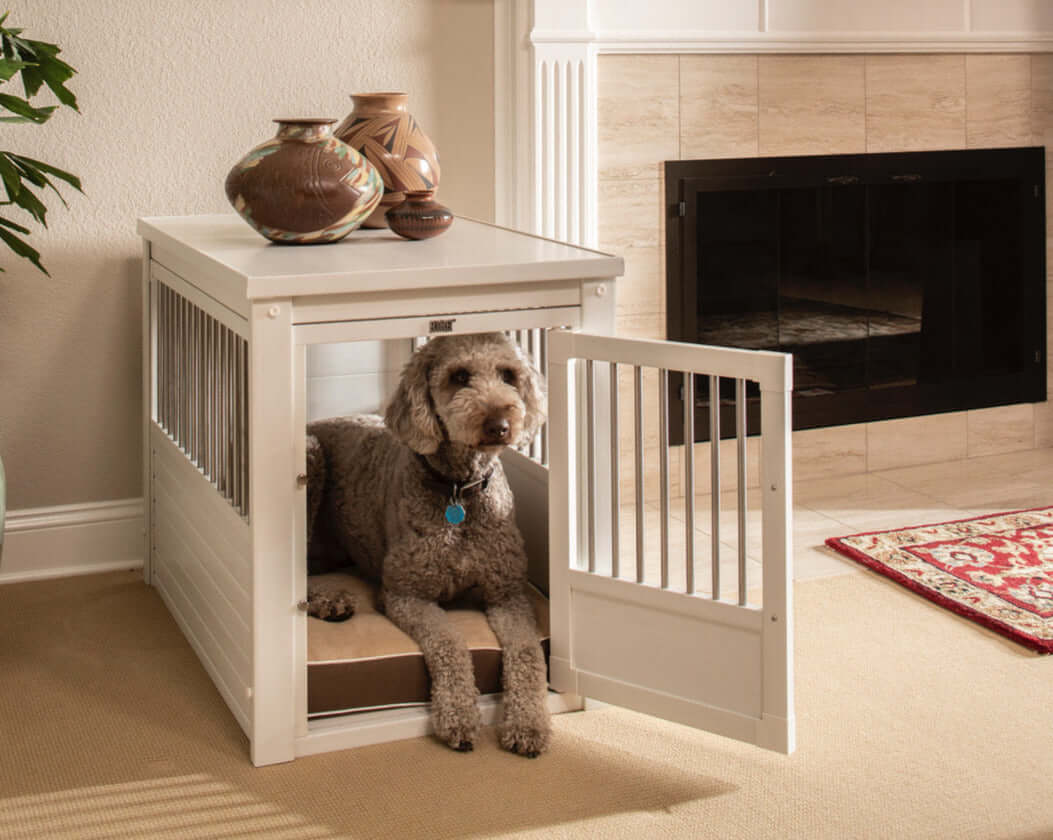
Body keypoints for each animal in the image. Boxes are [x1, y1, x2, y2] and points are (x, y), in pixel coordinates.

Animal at [305, 332, 551, 757]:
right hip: (310, 453)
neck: (460, 491)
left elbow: (528, 652)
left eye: (508, 374)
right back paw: (328, 600)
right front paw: (459, 717)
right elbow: (450, 644)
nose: (500, 425)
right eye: (460, 376)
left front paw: (528, 725)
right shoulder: (407, 594)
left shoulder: (508, 595)